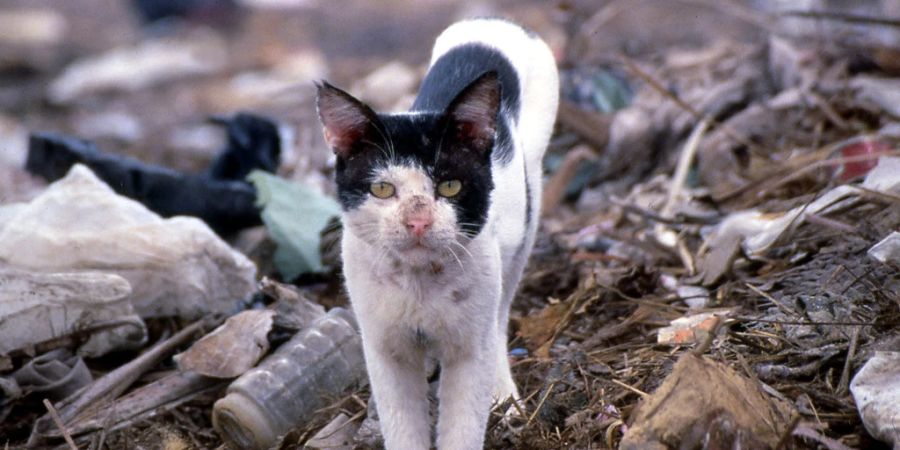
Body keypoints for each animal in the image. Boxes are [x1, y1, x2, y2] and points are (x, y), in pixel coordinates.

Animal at [314, 18, 556, 450]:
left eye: (449, 186)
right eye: (382, 189)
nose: (418, 221)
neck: (419, 286)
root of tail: (493, 22)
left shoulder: (469, 347)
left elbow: (463, 424)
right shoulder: (383, 346)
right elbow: (402, 424)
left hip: (526, 216)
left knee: (499, 316)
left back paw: (503, 396)